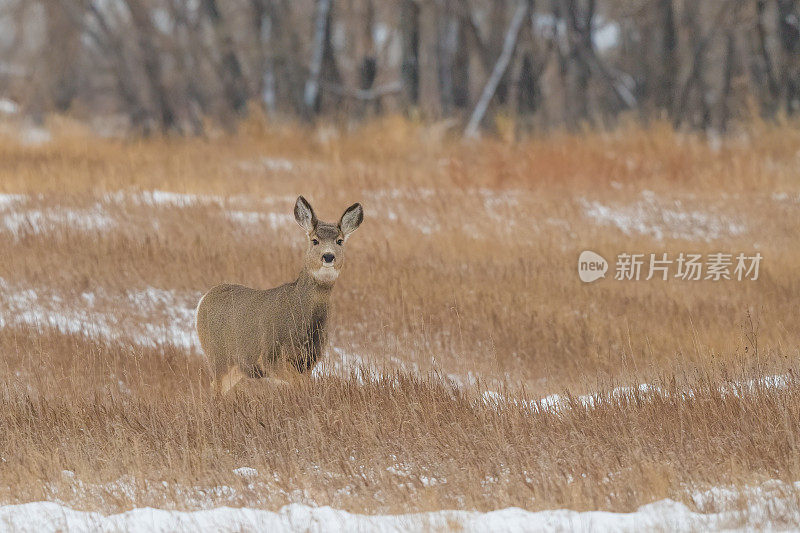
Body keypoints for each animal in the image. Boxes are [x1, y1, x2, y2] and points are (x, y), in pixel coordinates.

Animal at [195, 196, 364, 394]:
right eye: (315, 240)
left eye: (339, 241)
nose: (328, 256)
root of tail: (203, 299)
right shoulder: (270, 355)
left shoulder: (309, 360)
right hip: (217, 354)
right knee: (216, 388)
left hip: (236, 367)